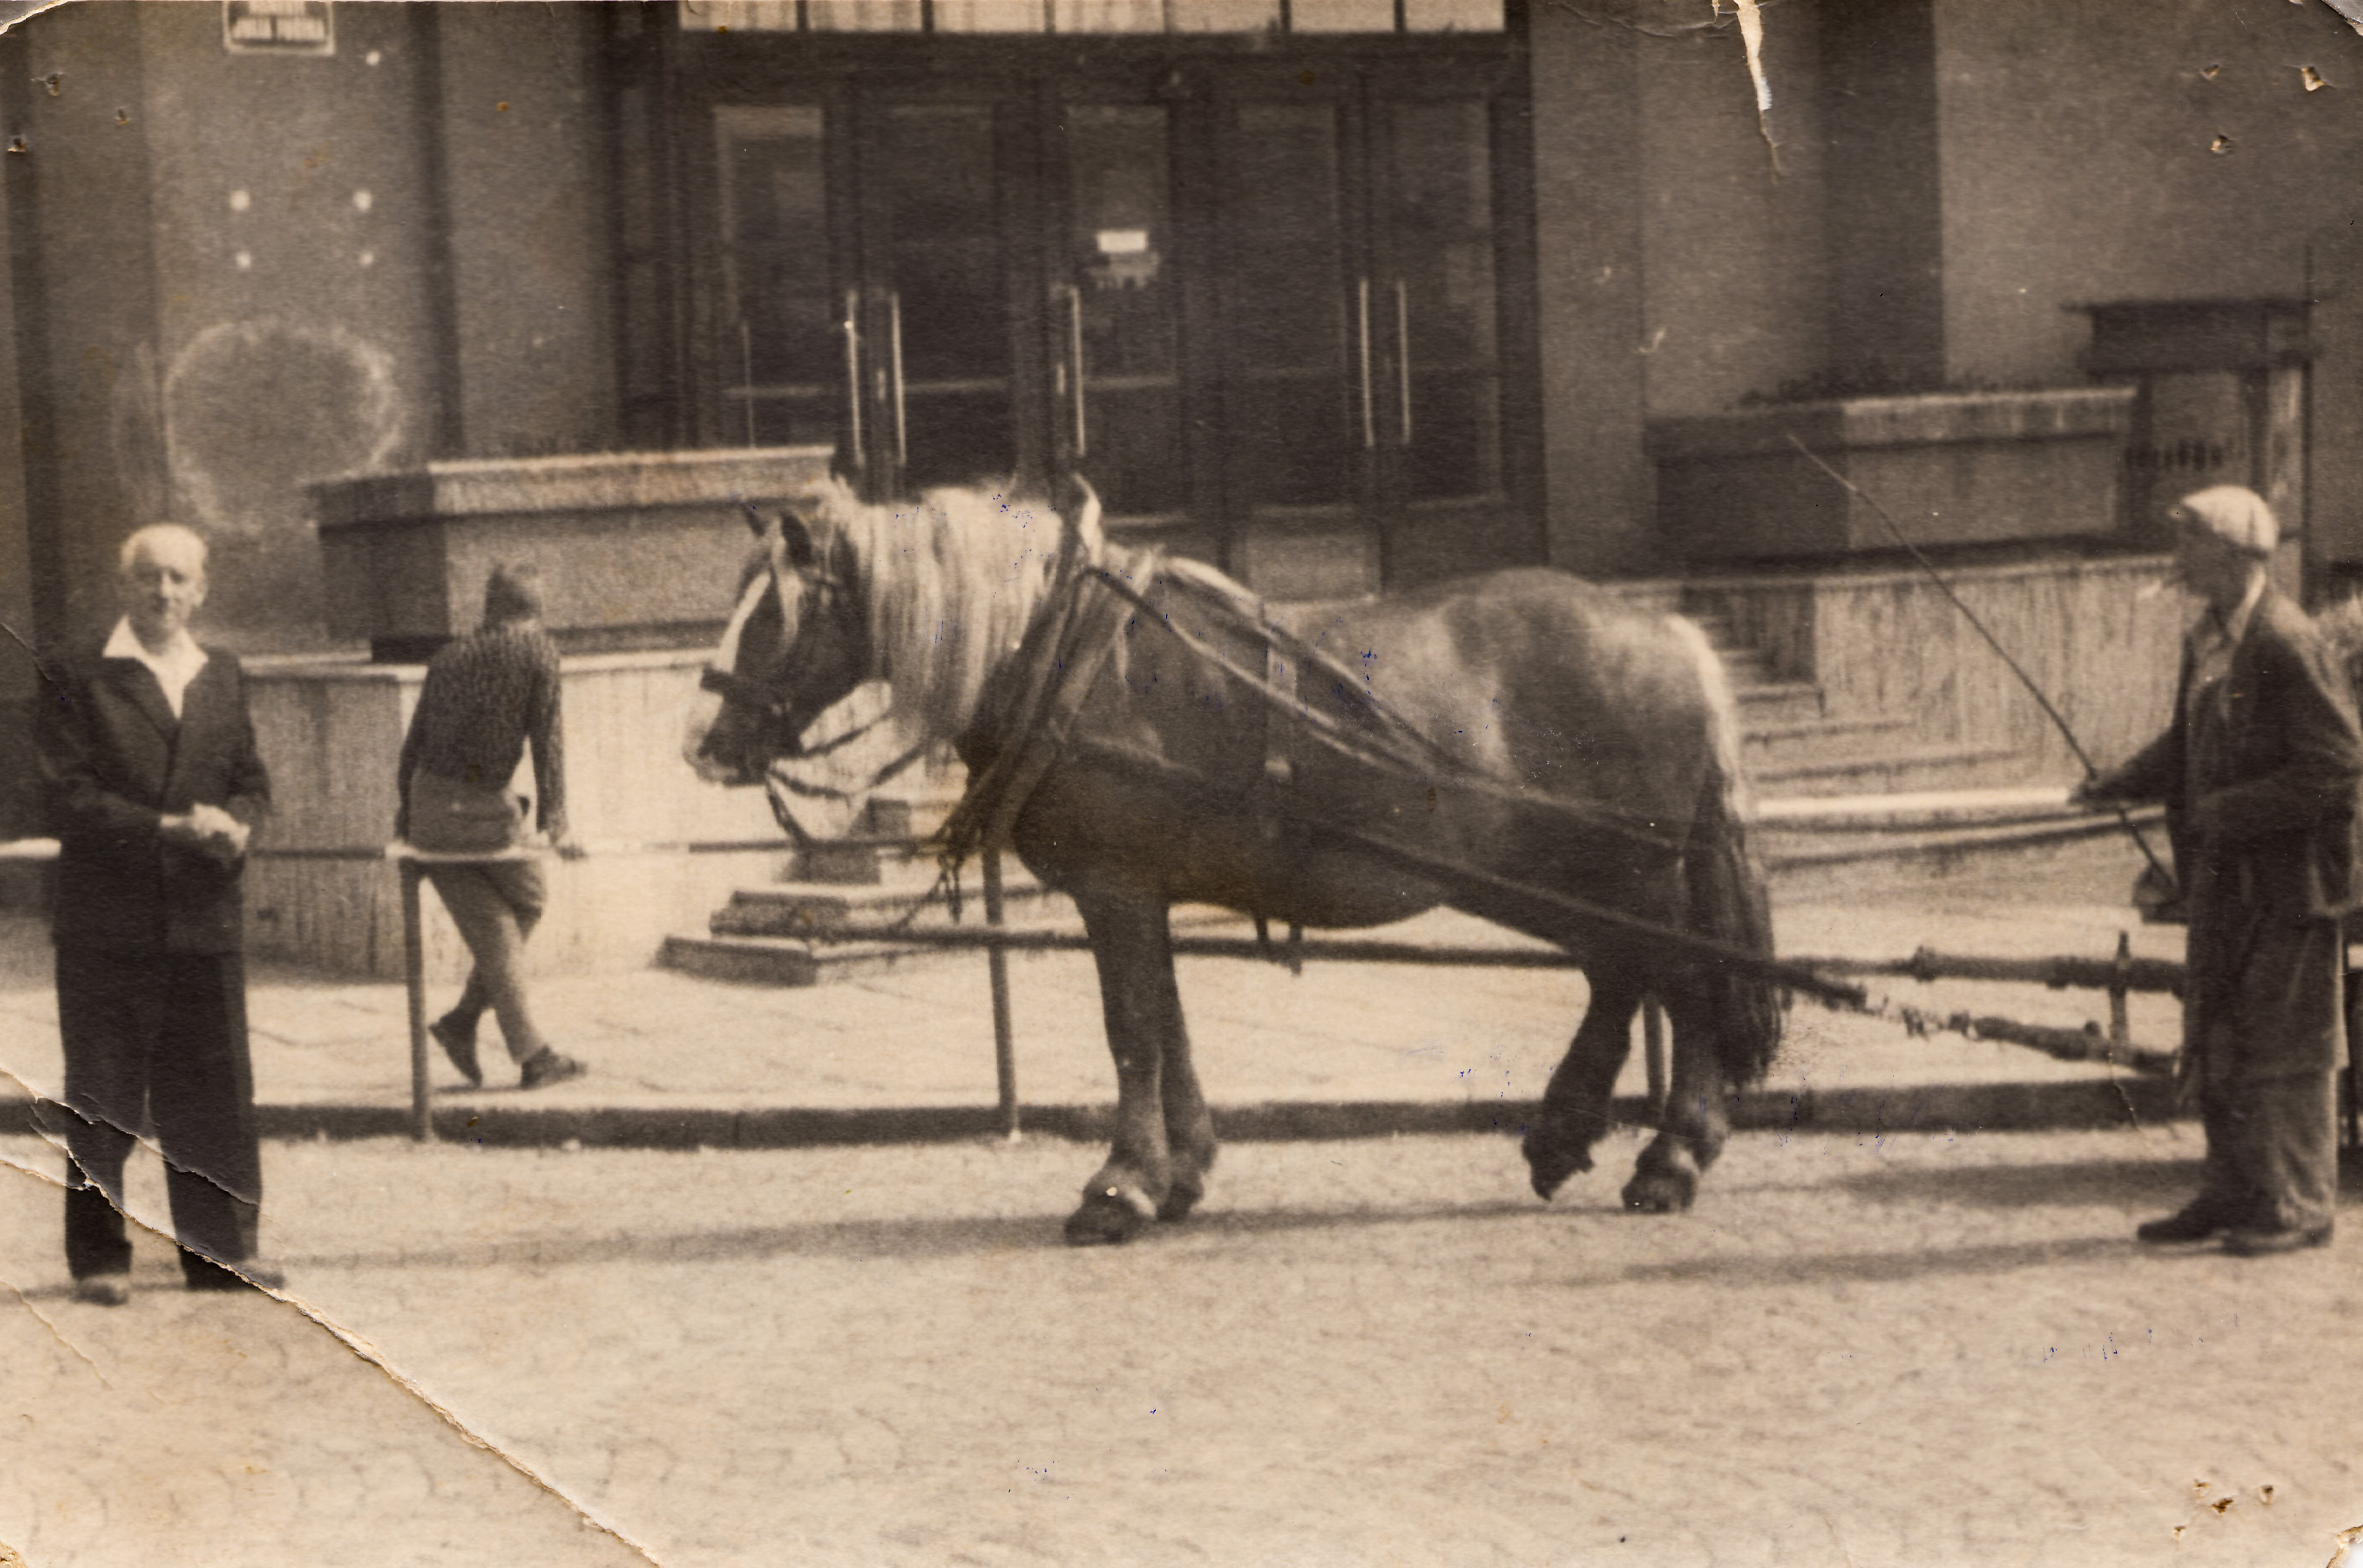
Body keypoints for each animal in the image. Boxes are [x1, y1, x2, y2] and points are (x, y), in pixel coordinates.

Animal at [683, 476, 1784, 1245]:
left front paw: (1118, 1186)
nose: (701, 741)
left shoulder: (1118, 887)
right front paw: (1181, 1172)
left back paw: (1671, 1157)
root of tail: (1674, 634)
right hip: (1566, 876)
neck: (1063, 654)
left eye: (777, 614)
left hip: (1623, 872)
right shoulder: (1146, 891)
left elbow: (1131, 1030)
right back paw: (1567, 1134)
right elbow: (1167, 1025)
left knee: (1682, 980)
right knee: (1622, 972)